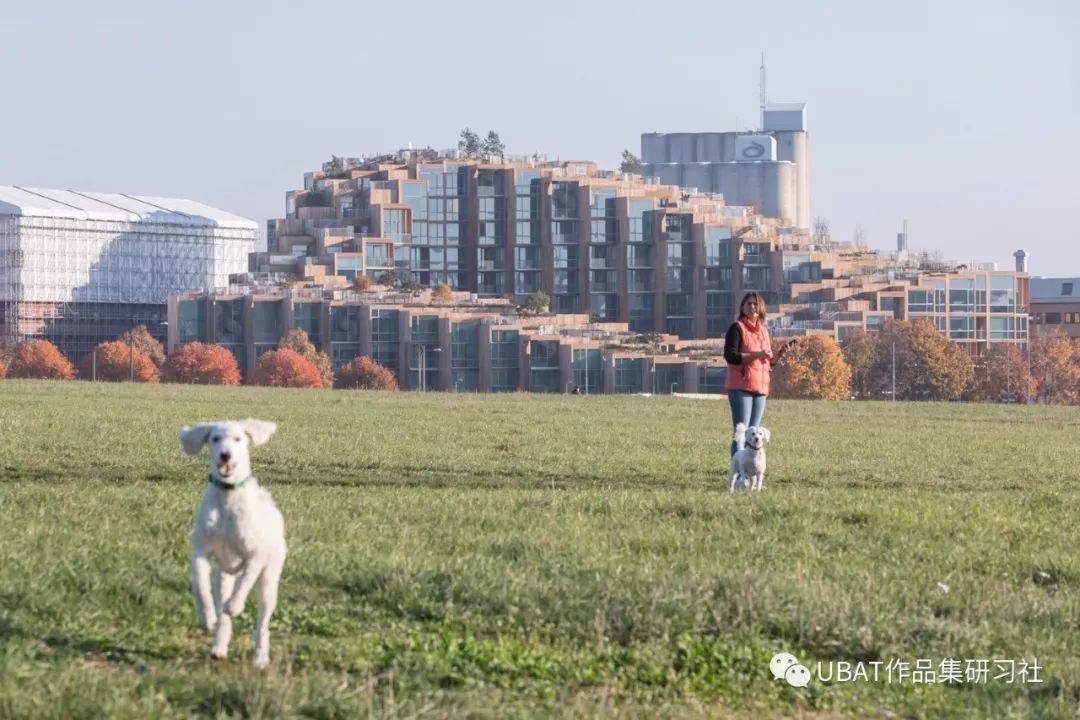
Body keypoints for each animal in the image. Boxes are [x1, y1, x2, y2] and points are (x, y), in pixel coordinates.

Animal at [180, 418, 287, 669]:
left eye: (239, 439)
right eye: (215, 438)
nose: (225, 455)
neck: (228, 498)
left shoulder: (256, 555)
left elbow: (246, 582)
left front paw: (236, 605)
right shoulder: (200, 550)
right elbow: (200, 584)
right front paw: (206, 616)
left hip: (269, 580)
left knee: (262, 623)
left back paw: (260, 657)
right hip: (224, 575)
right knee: (224, 615)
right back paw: (219, 646)